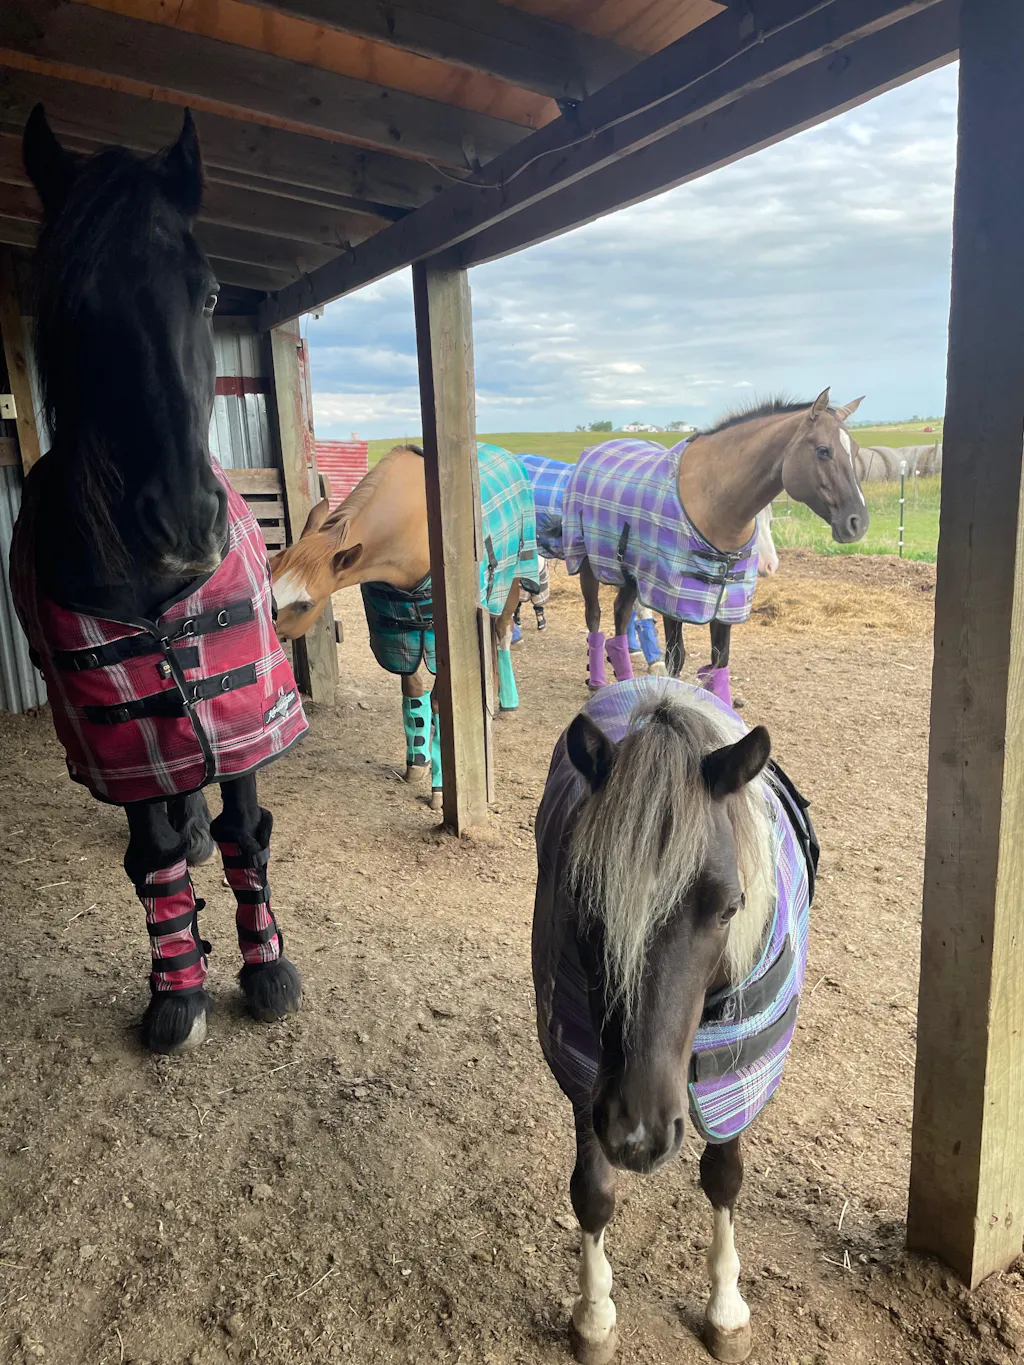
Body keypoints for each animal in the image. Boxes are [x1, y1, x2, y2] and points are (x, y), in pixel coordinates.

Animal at [11, 107, 307, 1055]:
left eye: (208, 295)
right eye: (76, 303)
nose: (181, 524)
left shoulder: (238, 709)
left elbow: (247, 828)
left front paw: (267, 966)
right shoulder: (115, 726)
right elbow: (151, 859)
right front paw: (176, 988)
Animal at [271, 441, 539, 807]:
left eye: (304, 604)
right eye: (270, 568)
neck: (410, 530)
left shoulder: (442, 638)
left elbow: (441, 702)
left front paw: (440, 787)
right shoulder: (396, 633)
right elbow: (412, 692)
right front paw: (417, 761)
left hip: (513, 580)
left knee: (501, 633)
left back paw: (508, 704)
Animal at [523, 392, 866, 704]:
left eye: (855, 451)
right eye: (823, 451)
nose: (858, 522)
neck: (712, 501)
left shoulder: (724, 601)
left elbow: (719, 660)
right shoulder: (669, 597)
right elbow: (677, 658)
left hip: (630, 573)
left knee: (620, 616)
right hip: (588, 563)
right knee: (594, 617)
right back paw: (597, 681)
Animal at [532, 676, 818, 1364]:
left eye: (729, 908)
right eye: (582, 897)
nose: (639, 1133)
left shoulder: (736, 1073)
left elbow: (724, 1176)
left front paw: (726, 1307)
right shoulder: (587, 1077)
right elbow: (592, 1193)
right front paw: (595, 1315)